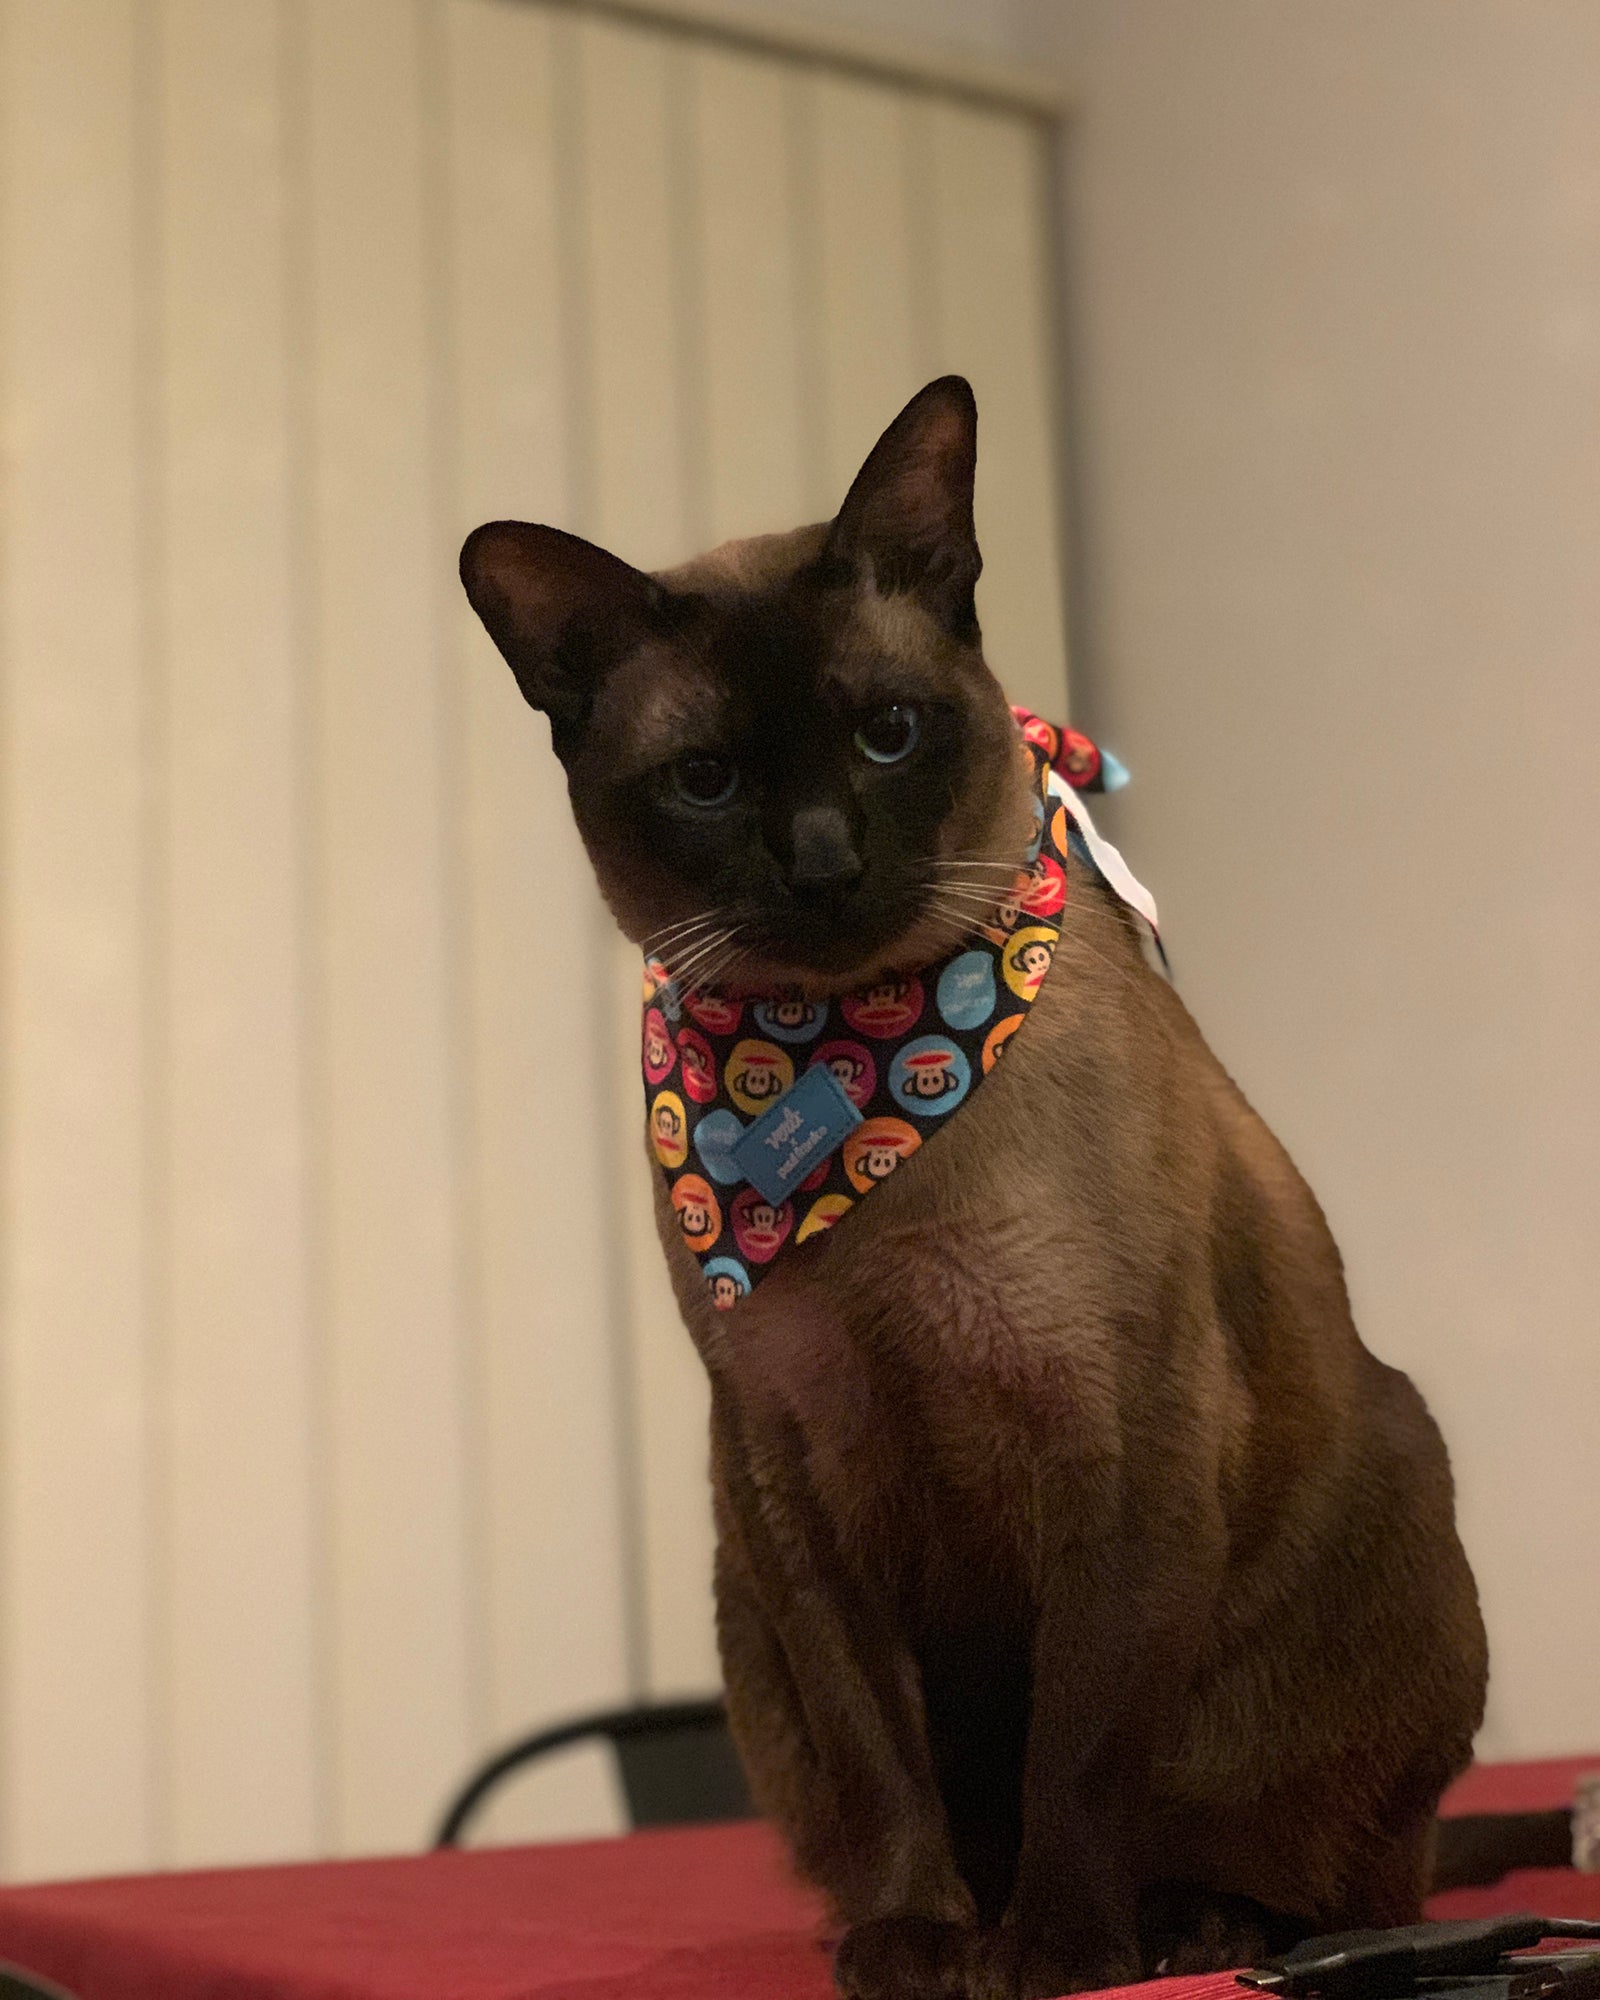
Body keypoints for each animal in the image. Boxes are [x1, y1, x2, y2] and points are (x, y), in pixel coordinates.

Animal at [460, 377, 1487, 2000]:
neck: (849, 1085)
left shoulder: (1114, 1436)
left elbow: (1078, 1746)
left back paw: (1185, 1925)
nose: (822, 864)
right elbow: (888, 1759)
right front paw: (919, 1942)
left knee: (1328, 1870)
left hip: (1383, 1504)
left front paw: (1058, 1954)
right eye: (708, 781)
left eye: (887, 734)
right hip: (745, 1597)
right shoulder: (789, 1464)